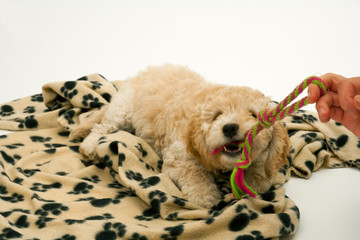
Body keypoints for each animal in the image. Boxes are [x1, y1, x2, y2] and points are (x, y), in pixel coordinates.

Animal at [76, 64, 290, 208]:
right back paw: (90, 146)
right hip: (123, 109)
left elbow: (259, 174)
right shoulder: (179, 156)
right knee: (103, 126)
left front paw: (250, 183)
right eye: (217, 115)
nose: (229, 128)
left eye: (253, 115)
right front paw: (205, 198)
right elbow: (194, 174)